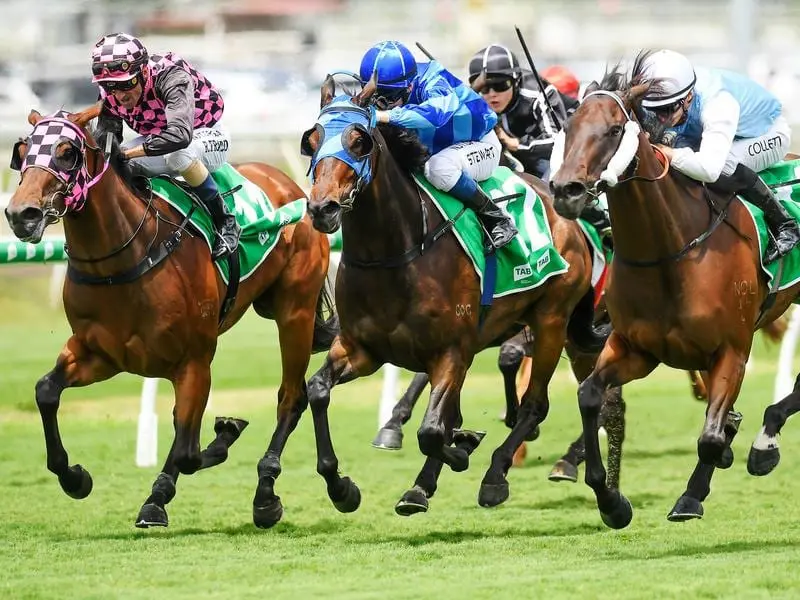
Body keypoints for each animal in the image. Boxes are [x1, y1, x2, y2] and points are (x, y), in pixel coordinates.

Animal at [3, 105, 336, 528]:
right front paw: (75, 477)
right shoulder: (101, 354)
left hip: (295, 312)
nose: (21, 214)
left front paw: (211, 449)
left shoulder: (194, 361)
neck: (124, 259)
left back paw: (266, 493)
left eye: (66, 152)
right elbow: (46, 391)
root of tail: (287, 183)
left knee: (291, 397)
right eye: (22, 151)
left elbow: (189, 451)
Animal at [296, 75, 620, 516]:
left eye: (359, 140)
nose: (322, 208)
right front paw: (343, 487)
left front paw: (463, 449)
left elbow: (434, 431)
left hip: (552, 321)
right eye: (311, 140)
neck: (394, 254)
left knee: (537, 404)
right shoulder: (362, 349)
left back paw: (498, 475)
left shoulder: (451, 351)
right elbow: (317, 391)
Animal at [552, 52, 800, 528]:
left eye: (614, 130)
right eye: (568, 128)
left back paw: (764, 443)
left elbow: (709, 437)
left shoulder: (732, 351)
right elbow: (590, 396)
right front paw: (612, 501)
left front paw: (691, 496)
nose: (564, 190)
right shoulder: (634, 348)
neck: (669, 254)